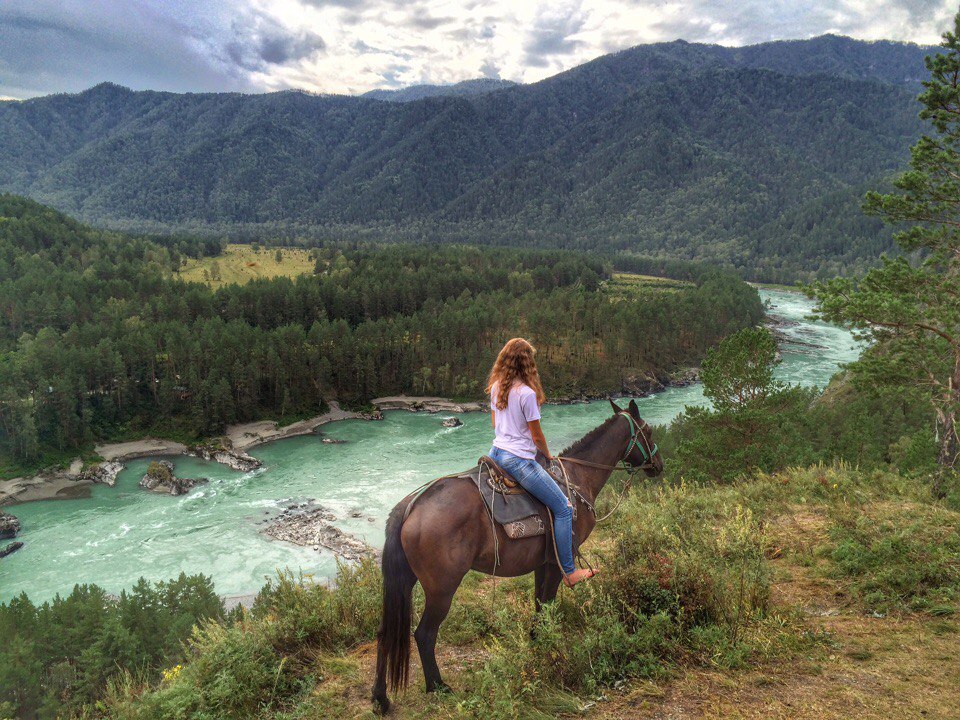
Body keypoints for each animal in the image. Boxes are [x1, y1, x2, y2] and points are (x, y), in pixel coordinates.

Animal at [372, 400, 664, 716]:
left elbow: (539, 604)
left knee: (385, 634)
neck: (578, 478)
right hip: (442, 590)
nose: (658, 465)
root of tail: (410, 507)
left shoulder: (543, 563)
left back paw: (380, 698)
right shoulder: (559, 560)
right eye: (648, 430)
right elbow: (548, 603)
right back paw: (438, 686)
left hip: (405, 581)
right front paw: (549, 647)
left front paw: (537, 641)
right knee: (424, 634)